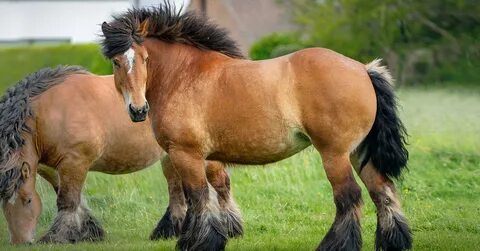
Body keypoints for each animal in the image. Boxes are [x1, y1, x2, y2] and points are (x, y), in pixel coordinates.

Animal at [0, 66, 240, 245]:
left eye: (27, 199)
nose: (20, 242)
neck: (48, 112)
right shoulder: (52, 168)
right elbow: (75, 200)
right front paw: (89, 232)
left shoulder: (75, 162)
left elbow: (67, 201)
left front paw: (57, 237)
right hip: (172, 158)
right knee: (178, 192)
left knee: (220, 185)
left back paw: (231, 228)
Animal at [100, 4, 412, 251]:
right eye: (116, 62)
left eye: (145, 59)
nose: (138, 110)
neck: (183, 76)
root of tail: (363, 69)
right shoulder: (203, 157)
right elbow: (208, 193)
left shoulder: (185, 154)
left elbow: (198, 197)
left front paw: (199, 242)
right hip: (359, 152)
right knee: (381, 190)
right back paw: (393, 241)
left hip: (335, 155)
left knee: (349, 198)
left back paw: (336, 245)